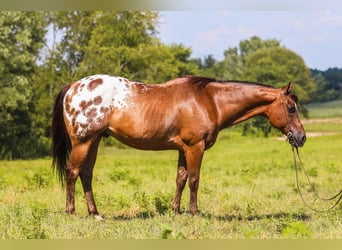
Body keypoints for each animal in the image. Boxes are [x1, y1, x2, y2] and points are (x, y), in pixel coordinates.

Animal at [52, 74, 306, 217]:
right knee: (72, 172)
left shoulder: (183, 149)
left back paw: (95, 213)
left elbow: (181, 179)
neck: (210, 101)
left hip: (93, 142)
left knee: (86, 174)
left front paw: (175, 211)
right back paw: (71, 212)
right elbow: (194, 179)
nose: (301, 137)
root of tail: (73, 87)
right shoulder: (195, 147)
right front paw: (194, 212)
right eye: (291, 108)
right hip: (83, 142)